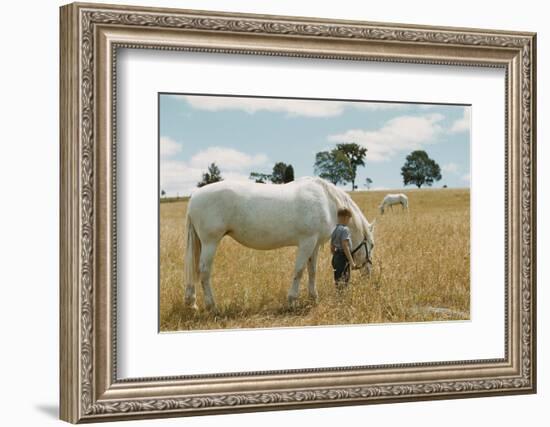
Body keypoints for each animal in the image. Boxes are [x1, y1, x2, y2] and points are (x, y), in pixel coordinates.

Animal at [183, 177, 378, 310]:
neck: (326, 201)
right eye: (372, 245)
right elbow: (299, 271)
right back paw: (212, 306)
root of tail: (194, 197)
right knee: (204, 271)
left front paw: (313, 297)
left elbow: (312, 271)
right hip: (210, 242)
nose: (369, 273)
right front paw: (292, 300)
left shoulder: (314, 245)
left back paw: (192, 303)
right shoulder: (307, 242)